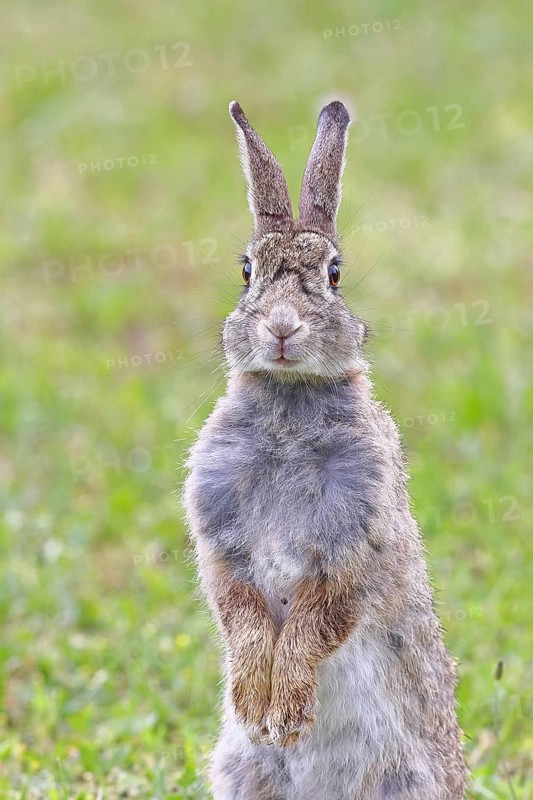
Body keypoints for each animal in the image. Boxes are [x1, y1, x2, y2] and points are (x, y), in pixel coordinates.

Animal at [183, 99, 467, 800]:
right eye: (247, 271)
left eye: (334, 275)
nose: (282, 327)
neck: (290, 404)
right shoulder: (220, 541)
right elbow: (242, 613)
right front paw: (258, 707)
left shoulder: (356, 544)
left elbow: (317, 620)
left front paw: (285, 712)